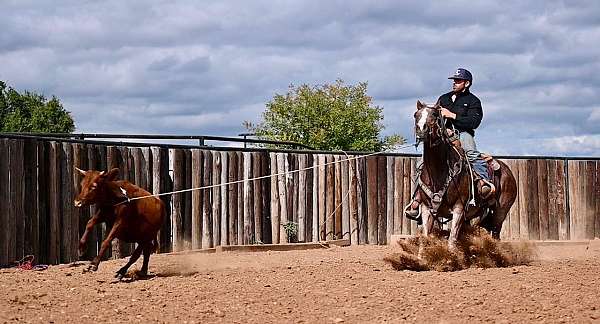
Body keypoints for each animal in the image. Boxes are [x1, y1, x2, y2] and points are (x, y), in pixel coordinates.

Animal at [412, 102, 516, 249]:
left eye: (435, 114)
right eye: (416, 115)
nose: (421, 129)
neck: (439, 172)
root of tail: (507, 170)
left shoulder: (459, 209)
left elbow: (452, 239)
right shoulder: (427, 208)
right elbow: (425, 238)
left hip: (501, 211)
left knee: (496, 234)